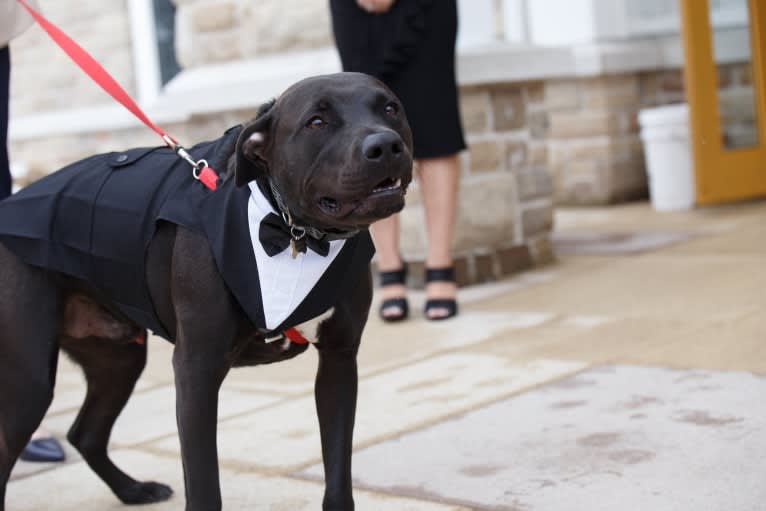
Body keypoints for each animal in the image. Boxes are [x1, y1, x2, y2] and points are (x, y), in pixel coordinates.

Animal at [0, 73, 414, 511]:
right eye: (316, 122)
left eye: (390, 108)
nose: (385, 146)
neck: (292, 231)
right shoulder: (197, 370)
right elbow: (203, 485)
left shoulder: (338, 360)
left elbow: (337, 472)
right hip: (30, 381)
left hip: (117, 358)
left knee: (86, 433)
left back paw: (133, 490)